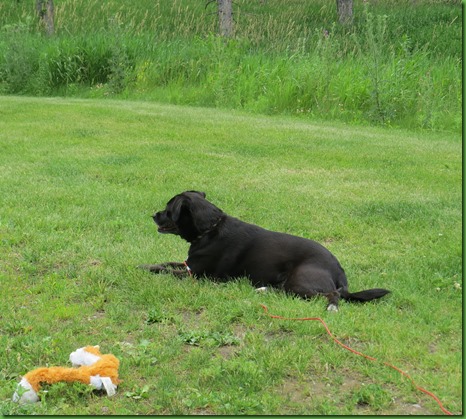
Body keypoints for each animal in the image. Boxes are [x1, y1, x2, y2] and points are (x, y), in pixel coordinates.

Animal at [140, 191, 390, 311]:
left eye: (168, 209)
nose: (153, 215)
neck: (210, 228)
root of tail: (339, 271)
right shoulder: (189, 265)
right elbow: (167, 263)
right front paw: (146, 263)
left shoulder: (196, 275)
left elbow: (165, 270)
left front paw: (145, 268)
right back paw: (263, 289)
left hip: (301, 281)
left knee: (331, 295)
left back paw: (331, 307)